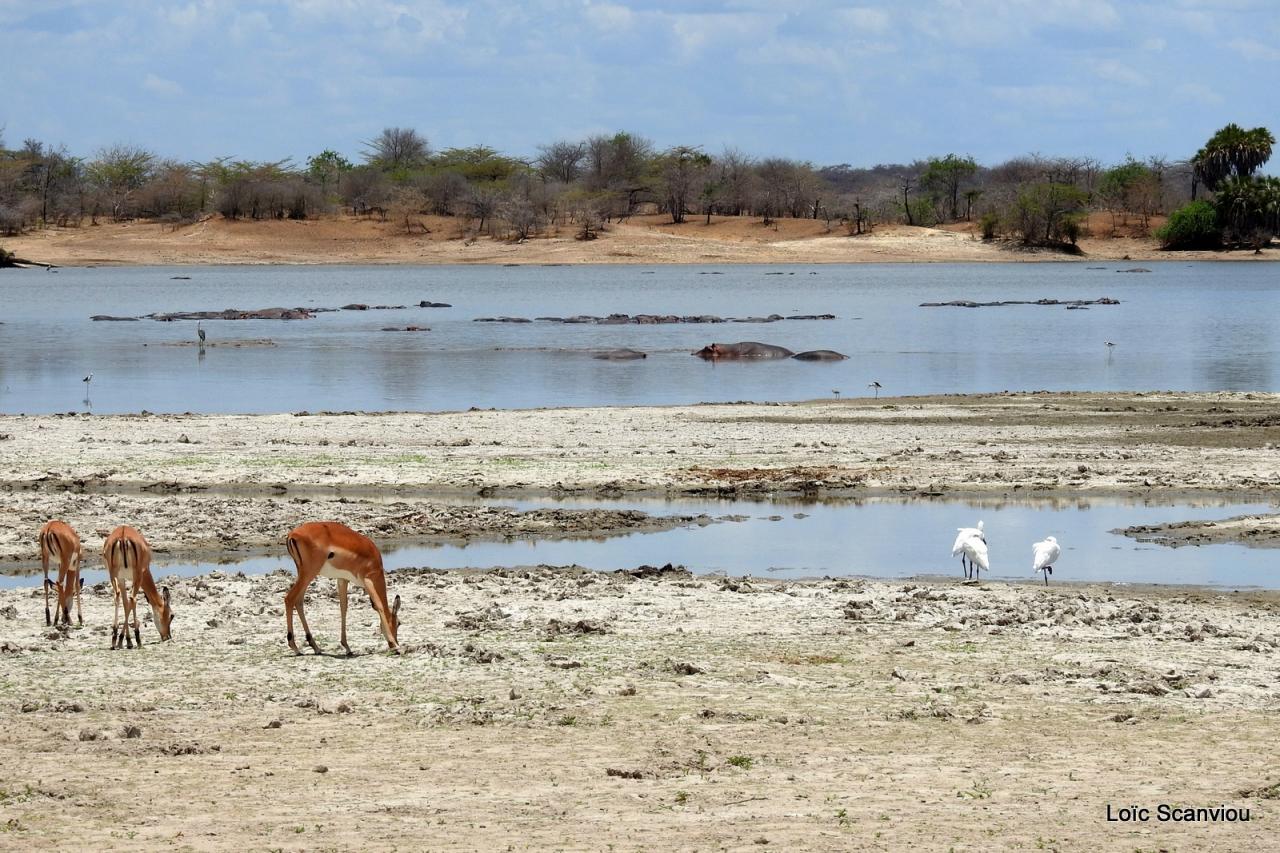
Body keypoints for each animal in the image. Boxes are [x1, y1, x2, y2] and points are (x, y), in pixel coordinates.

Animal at [284, 517, 399, 650]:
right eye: (399, 623)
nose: (396, 640)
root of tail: (293, 534)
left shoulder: (342, 579)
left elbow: (343, 607)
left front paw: (346, 646)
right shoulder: (368, 580)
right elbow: (379, 605)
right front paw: (395, 644)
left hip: (303, 574)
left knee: (298, 602)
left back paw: (315, 646)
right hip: (309, 573)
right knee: (289, 599)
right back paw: (295, 647)